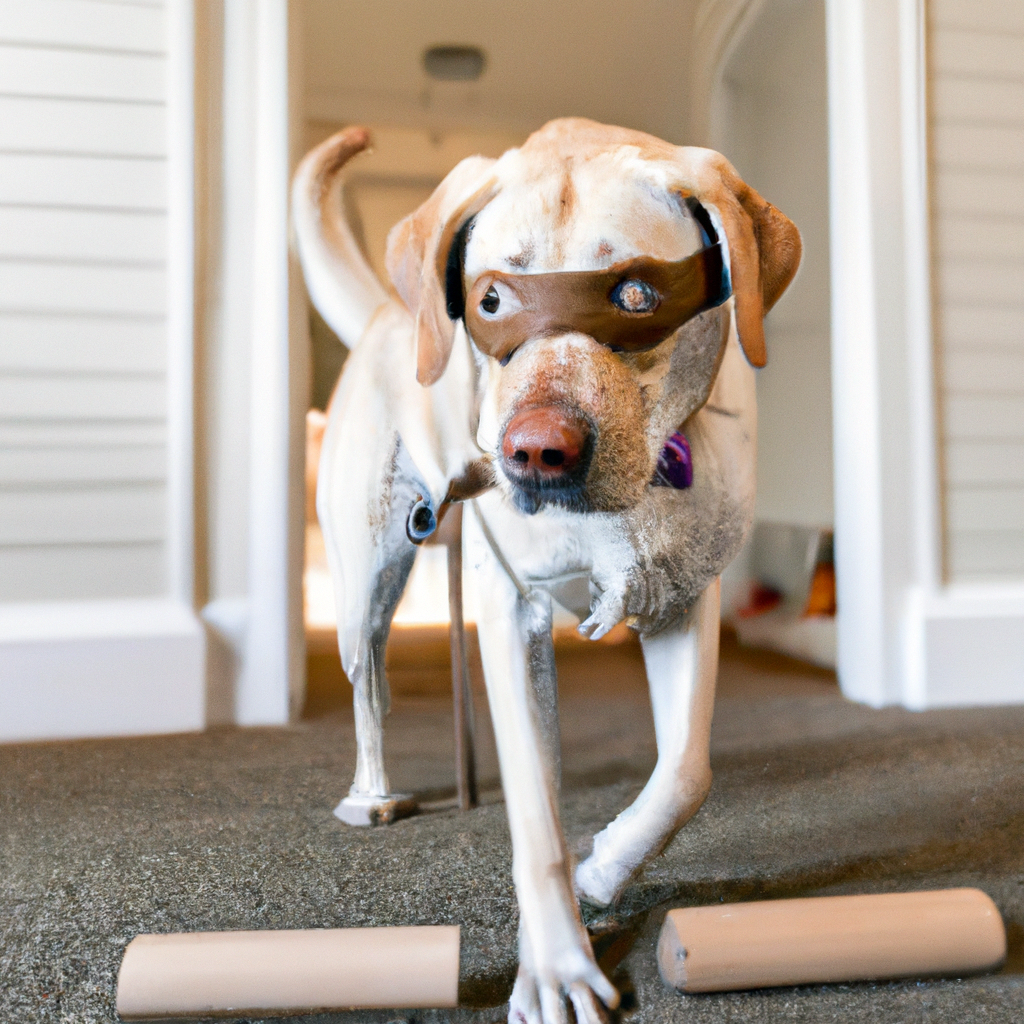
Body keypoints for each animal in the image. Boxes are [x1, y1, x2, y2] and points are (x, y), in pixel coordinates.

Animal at [290, 121, 798, 1024]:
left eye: (637, 295)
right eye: (492, 301)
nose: (534, 453)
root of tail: (387, 313)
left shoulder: (680, 596)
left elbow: (685, 773)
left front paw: (605, 866)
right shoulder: (511, 612)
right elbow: (536, 819)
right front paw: (559, 964)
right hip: (366, 588)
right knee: (371, 695)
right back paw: (373, 796)